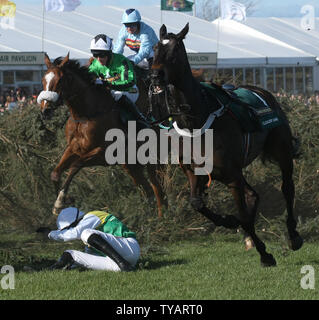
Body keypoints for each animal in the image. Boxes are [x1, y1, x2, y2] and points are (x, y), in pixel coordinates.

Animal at [37, 53, 168, 218]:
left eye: (60, 80)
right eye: (43, 79)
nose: (45, 110)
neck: (85, 115)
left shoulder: (102, 153)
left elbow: (75, 166)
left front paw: (61, 201)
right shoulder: (74, 149)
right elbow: (55, 173)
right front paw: (61, 202)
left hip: (154, 157)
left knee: (157, 186)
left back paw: (163, 217)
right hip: (130, 164)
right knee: (147, 189)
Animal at [151, 23, 304, 266]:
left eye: (174, 51)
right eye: (155, 48)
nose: (155, 75)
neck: (196, 121)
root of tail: (263, 92)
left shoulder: (231, 176)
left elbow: (243, 215)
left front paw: (264, 253)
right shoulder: (195, 172)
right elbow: (196, 203)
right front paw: (231, 223)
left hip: (281, 151)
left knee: (287, 188)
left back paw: (293, 236)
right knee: (253, 195)